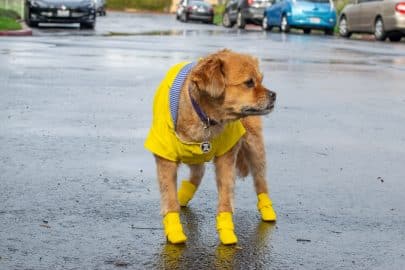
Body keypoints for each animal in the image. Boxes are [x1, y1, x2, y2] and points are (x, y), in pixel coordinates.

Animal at [144, 49, 276, 246]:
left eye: (261, 79)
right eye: (249, 82)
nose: (274, 95)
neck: (205, 118)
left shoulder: (226, 158)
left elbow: (226, 198)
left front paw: (226, 231)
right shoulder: (165, 160)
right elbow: (170, 199)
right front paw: (174, 230)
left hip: (255, 148)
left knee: (261, 183)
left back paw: (268, 211)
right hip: (195, 157)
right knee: (197, 174)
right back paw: (183, 195)